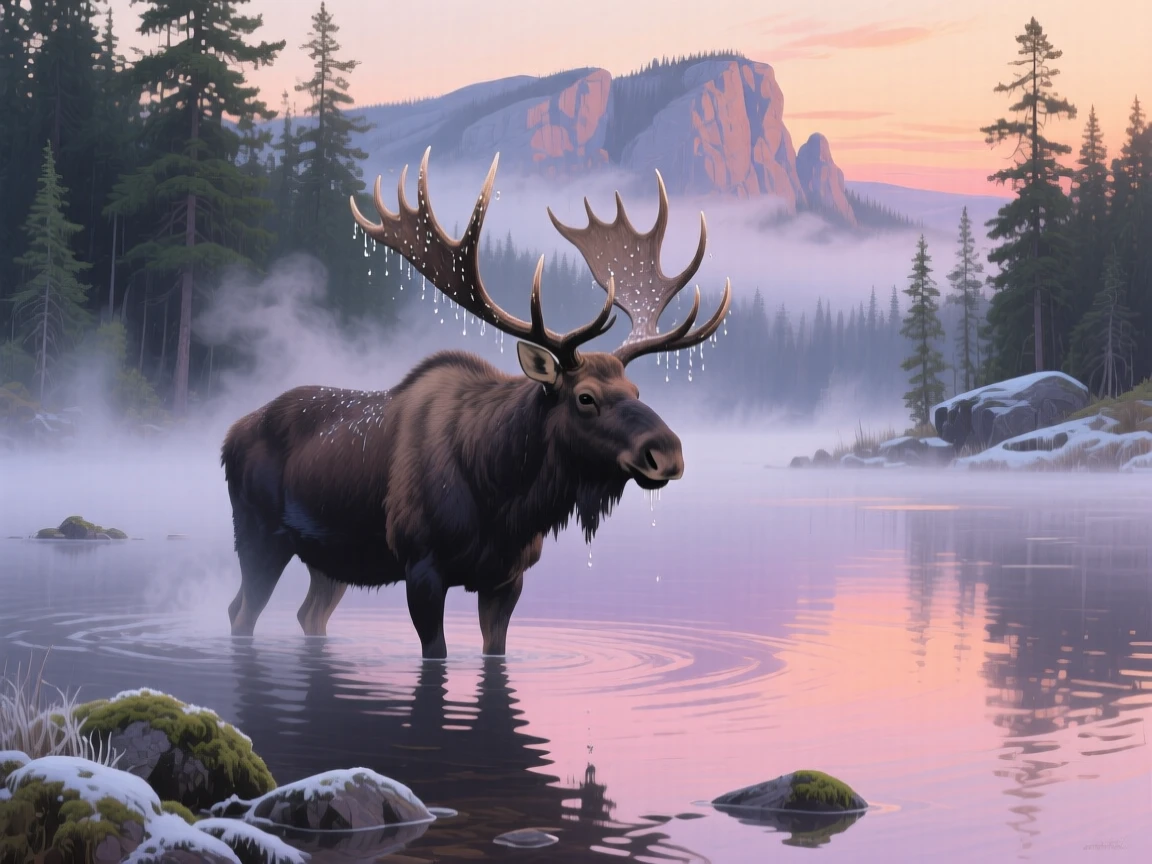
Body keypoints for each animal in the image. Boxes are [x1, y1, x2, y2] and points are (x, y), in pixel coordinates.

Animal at [220, 147, 731, 659]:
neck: (502, 494)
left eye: (637, 392)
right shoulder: (422, 566)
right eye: (585, 397)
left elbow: (495, 649)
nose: (667, 453)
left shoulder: (508, 577)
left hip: (330, 557)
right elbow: (436, 653)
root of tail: (229, 435)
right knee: (241, 612)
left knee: (308, 614)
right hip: (258, 534)